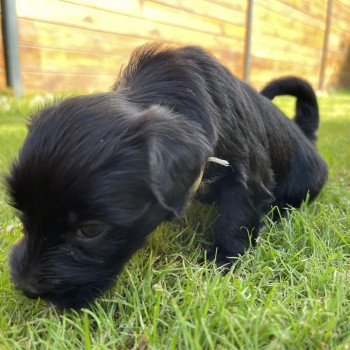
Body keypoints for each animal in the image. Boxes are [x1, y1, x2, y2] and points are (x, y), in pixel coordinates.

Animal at [6, 44, 328, 308]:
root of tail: (306, 135)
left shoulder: (246, 176)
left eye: (90, 230)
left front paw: (222, 263)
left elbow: (235, 221)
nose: (27, 289)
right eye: (22, 215)